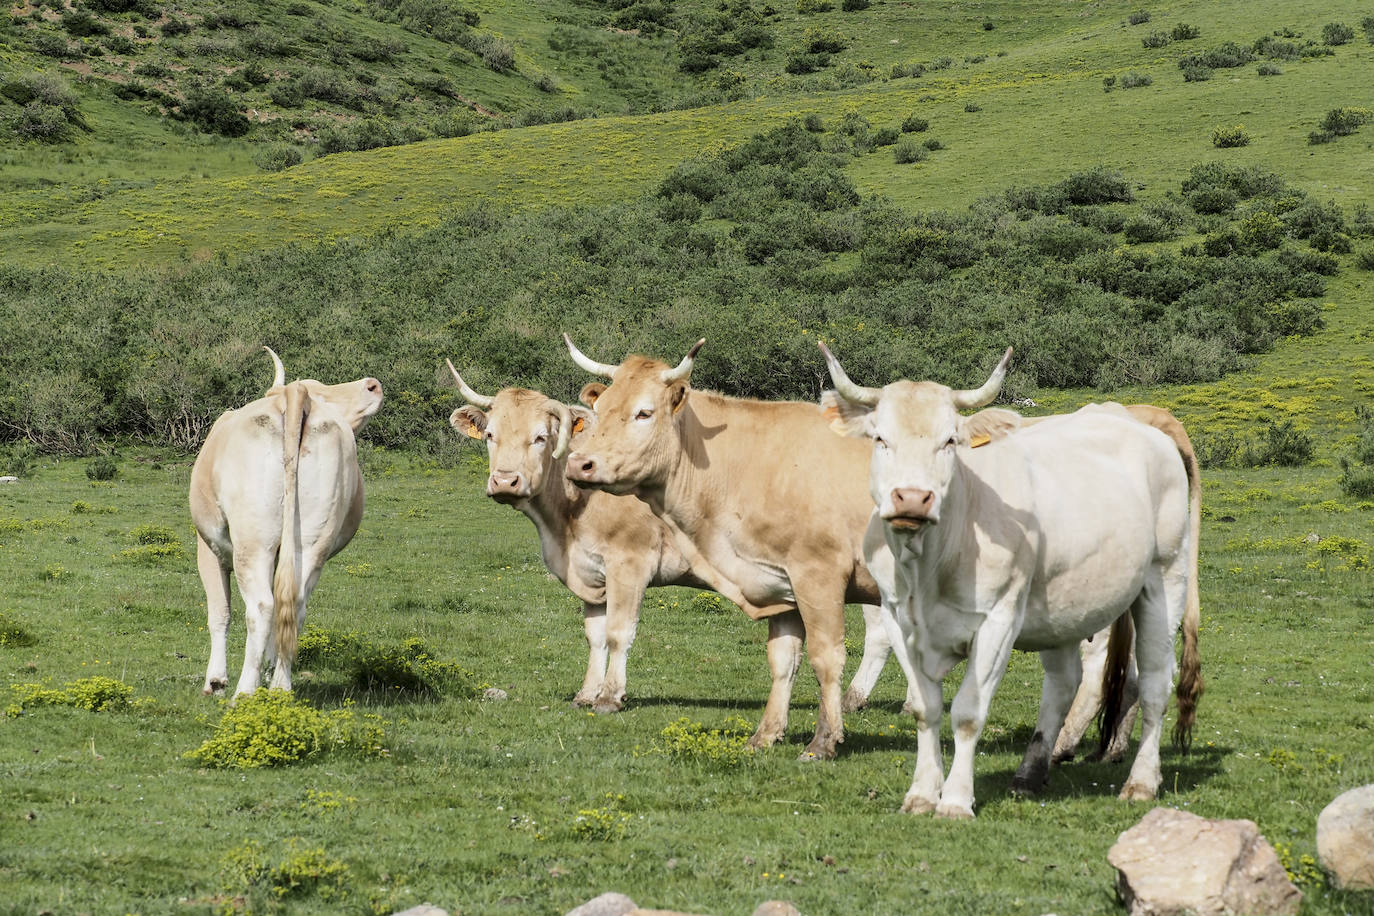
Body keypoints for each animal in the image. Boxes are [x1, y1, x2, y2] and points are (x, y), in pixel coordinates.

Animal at [188, 348, 381, 694]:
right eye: (322, 391)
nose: (372, 385)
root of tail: (294, 395)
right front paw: (267, 669)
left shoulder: (209, 548)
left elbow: (220, 612)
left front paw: (216, 680)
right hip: (311, 544)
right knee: (295, 607)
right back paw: (280, 687)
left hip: (253, 544)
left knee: (262, 607)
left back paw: (244, 692)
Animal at [445, 362, 906, 714]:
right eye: (491, 436)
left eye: (540, 437)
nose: (506, 481)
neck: (563, 525)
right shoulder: (590, 572)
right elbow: (595, 634)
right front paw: (586, 693)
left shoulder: (628, 562)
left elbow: (619, 631)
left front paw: (611, 696)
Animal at [813, 341, 1203, 818]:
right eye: (880, 438)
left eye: (950, 441)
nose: (912, 498)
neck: (930, 565)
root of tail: (1149, 427)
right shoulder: (897, 617)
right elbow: (926, 708)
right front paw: (922, 793)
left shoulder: (998, 620)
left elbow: (967, 713)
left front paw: (955, 800)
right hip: (1066, 607)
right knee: (1065, 683)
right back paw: (1031, 772)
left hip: (1166, 577)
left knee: (1153, 682)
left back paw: (1142, 781)